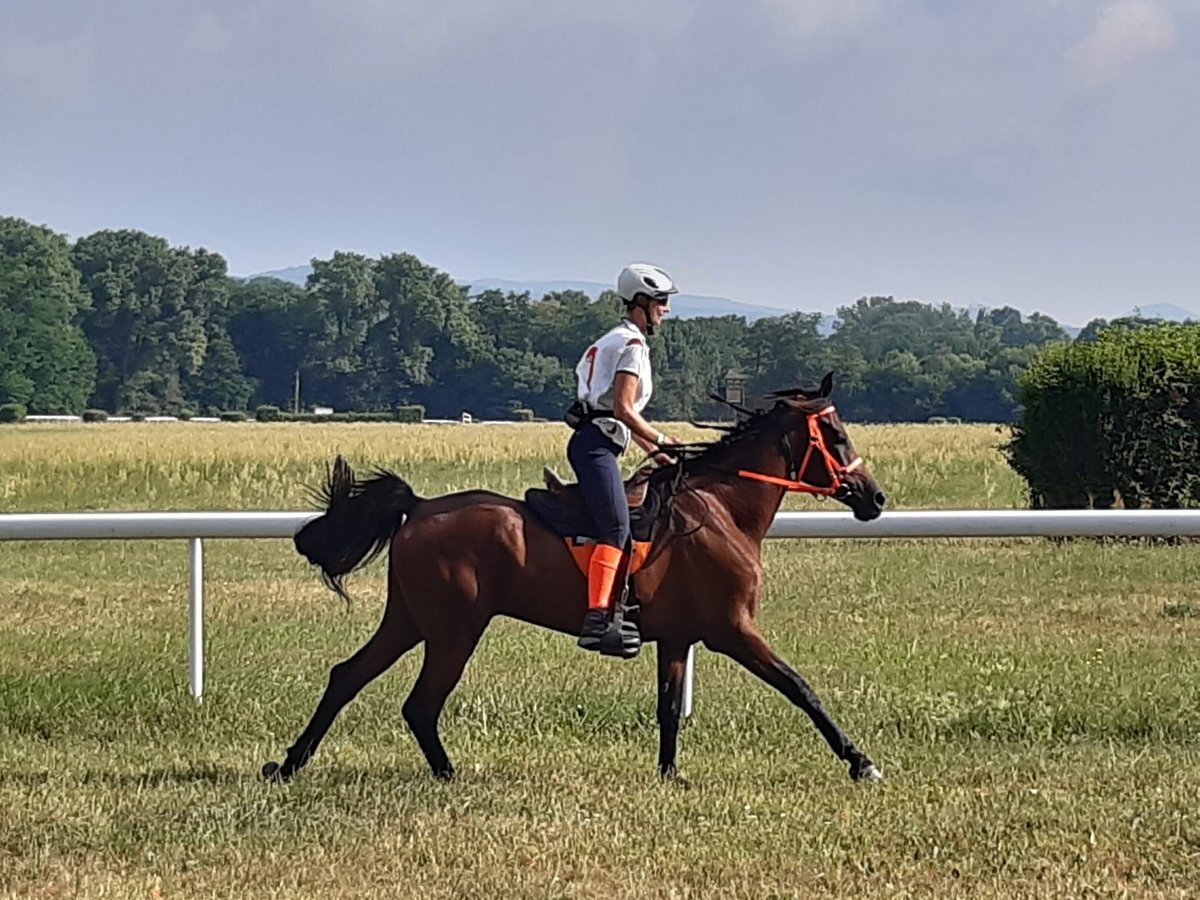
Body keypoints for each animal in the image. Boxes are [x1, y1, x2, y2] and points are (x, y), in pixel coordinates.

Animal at [265, 374, 892, 782]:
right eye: (837, 436)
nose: (875, 498)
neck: (720, 508)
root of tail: (418, 507)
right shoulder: (731, 630)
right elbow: (801, 688)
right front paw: (860, 761)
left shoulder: (678, 638)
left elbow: (669, 708)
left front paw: (670, 775)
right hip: (452, 630)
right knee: (419, 703)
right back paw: (448, 774)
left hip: (411, 620)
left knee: (347, 676)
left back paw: (290, 763)